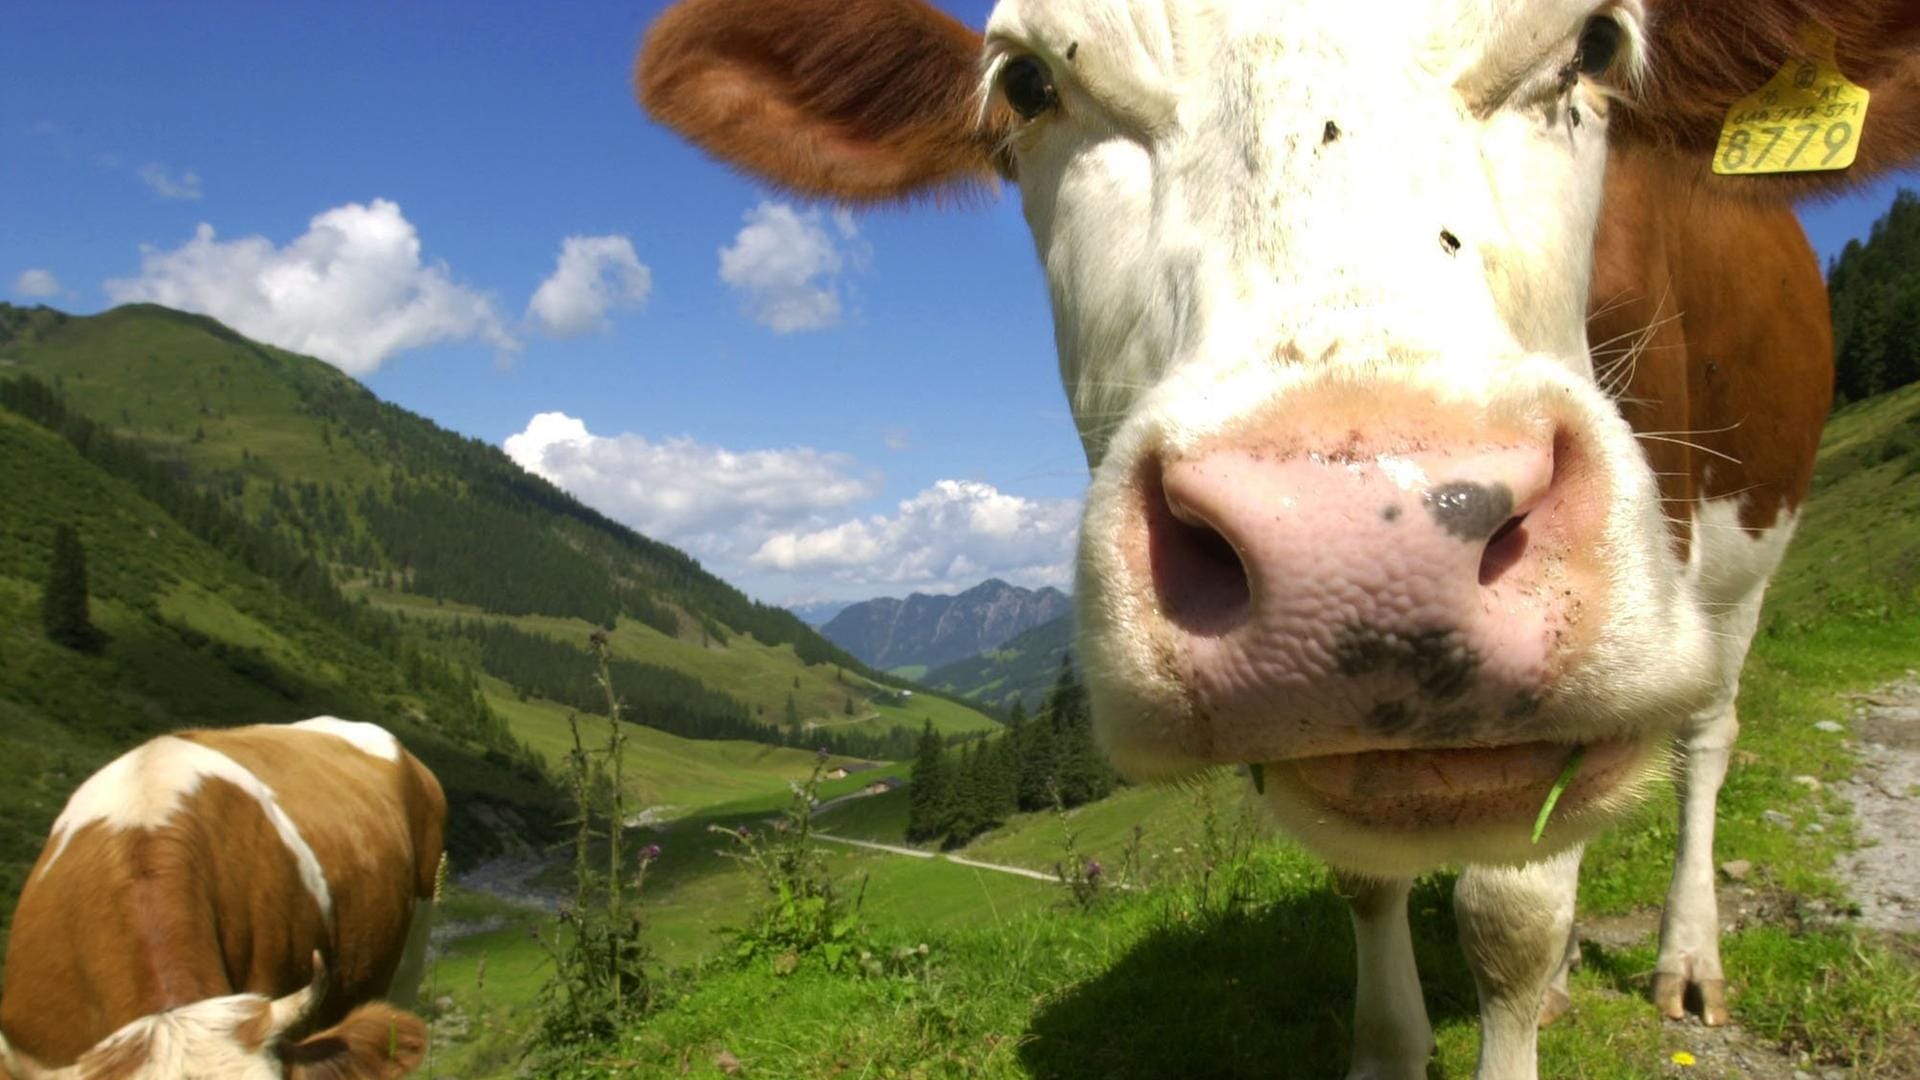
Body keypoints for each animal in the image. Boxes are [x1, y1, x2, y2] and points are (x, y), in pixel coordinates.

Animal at [629, 0, 1920, 1068]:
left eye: (1596, 43)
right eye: (1029, 82)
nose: (1363, 544)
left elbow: (1509, 919)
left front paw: (1532, 967)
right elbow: (1365, 880)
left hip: (1744, 557)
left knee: (1707, 738)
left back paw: (1686, 960)